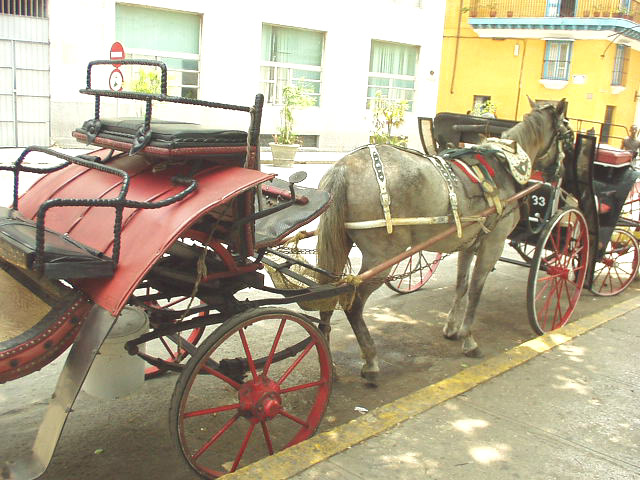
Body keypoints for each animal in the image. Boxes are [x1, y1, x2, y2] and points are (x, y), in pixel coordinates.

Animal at [316, 99, 568, 384]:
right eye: (567, 135)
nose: (561, 171)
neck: (505, 164)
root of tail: (345, 166)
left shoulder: (468, 243)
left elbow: (462, 285)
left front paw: (452, 327)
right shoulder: (494, 241)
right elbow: (476, 289)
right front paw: (469, 339)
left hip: (341, 245)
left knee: (326, 296)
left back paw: (330, 365)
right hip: (383, 257)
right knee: (354, 303)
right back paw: (370, 360)